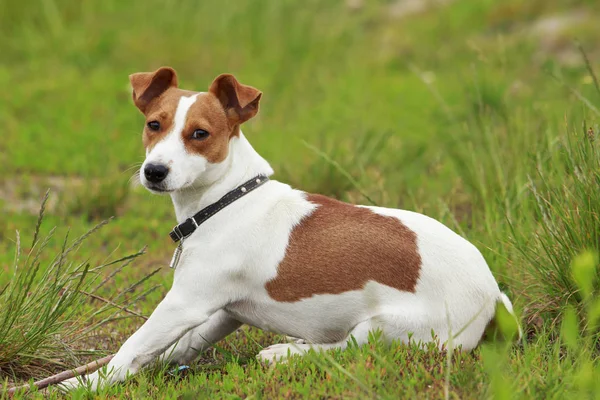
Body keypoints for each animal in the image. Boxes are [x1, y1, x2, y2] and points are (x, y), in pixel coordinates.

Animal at [63, 66, 516, 390]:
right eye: (153, 125)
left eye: (200, 134)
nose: (154, 172)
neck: (228, 200)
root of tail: (493, 296)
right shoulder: (223, 312)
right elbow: (174, 347)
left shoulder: (185, 303)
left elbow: (130, 348)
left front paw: (83, 384)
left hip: (388, 328)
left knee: (350, 349)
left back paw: (285, 353)